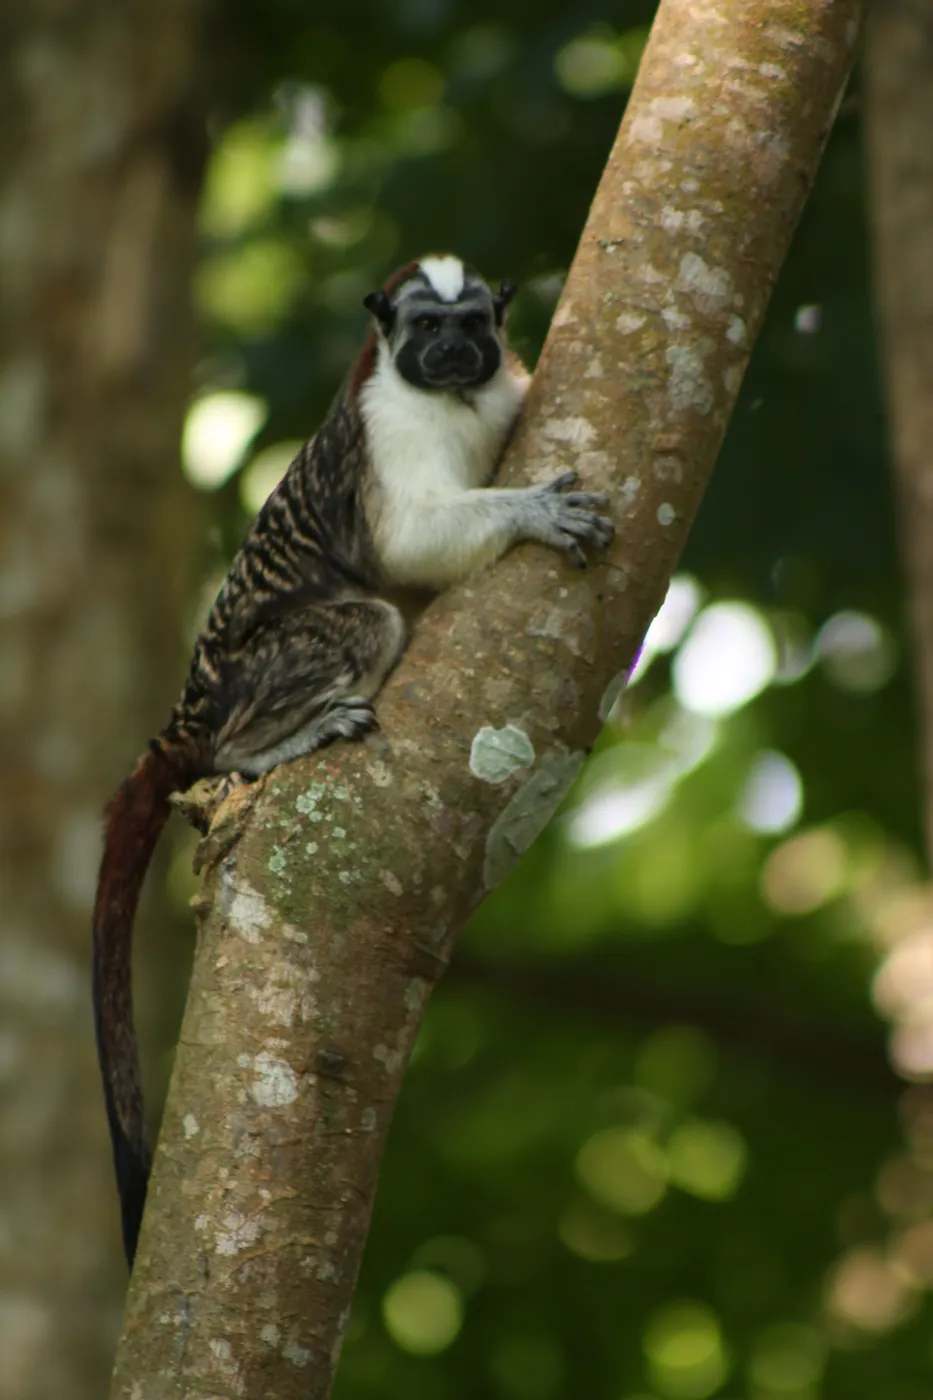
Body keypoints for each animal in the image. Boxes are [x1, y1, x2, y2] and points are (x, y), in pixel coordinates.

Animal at [92, 253, 613, 1266]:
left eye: (470, 324)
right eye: (424, 328)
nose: (451, 354)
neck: (454, 399)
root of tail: (191, 700)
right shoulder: (389, 424)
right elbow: (409, 539)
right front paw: (532, 509)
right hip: (249, 678)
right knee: (359, 625)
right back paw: (266, 745)